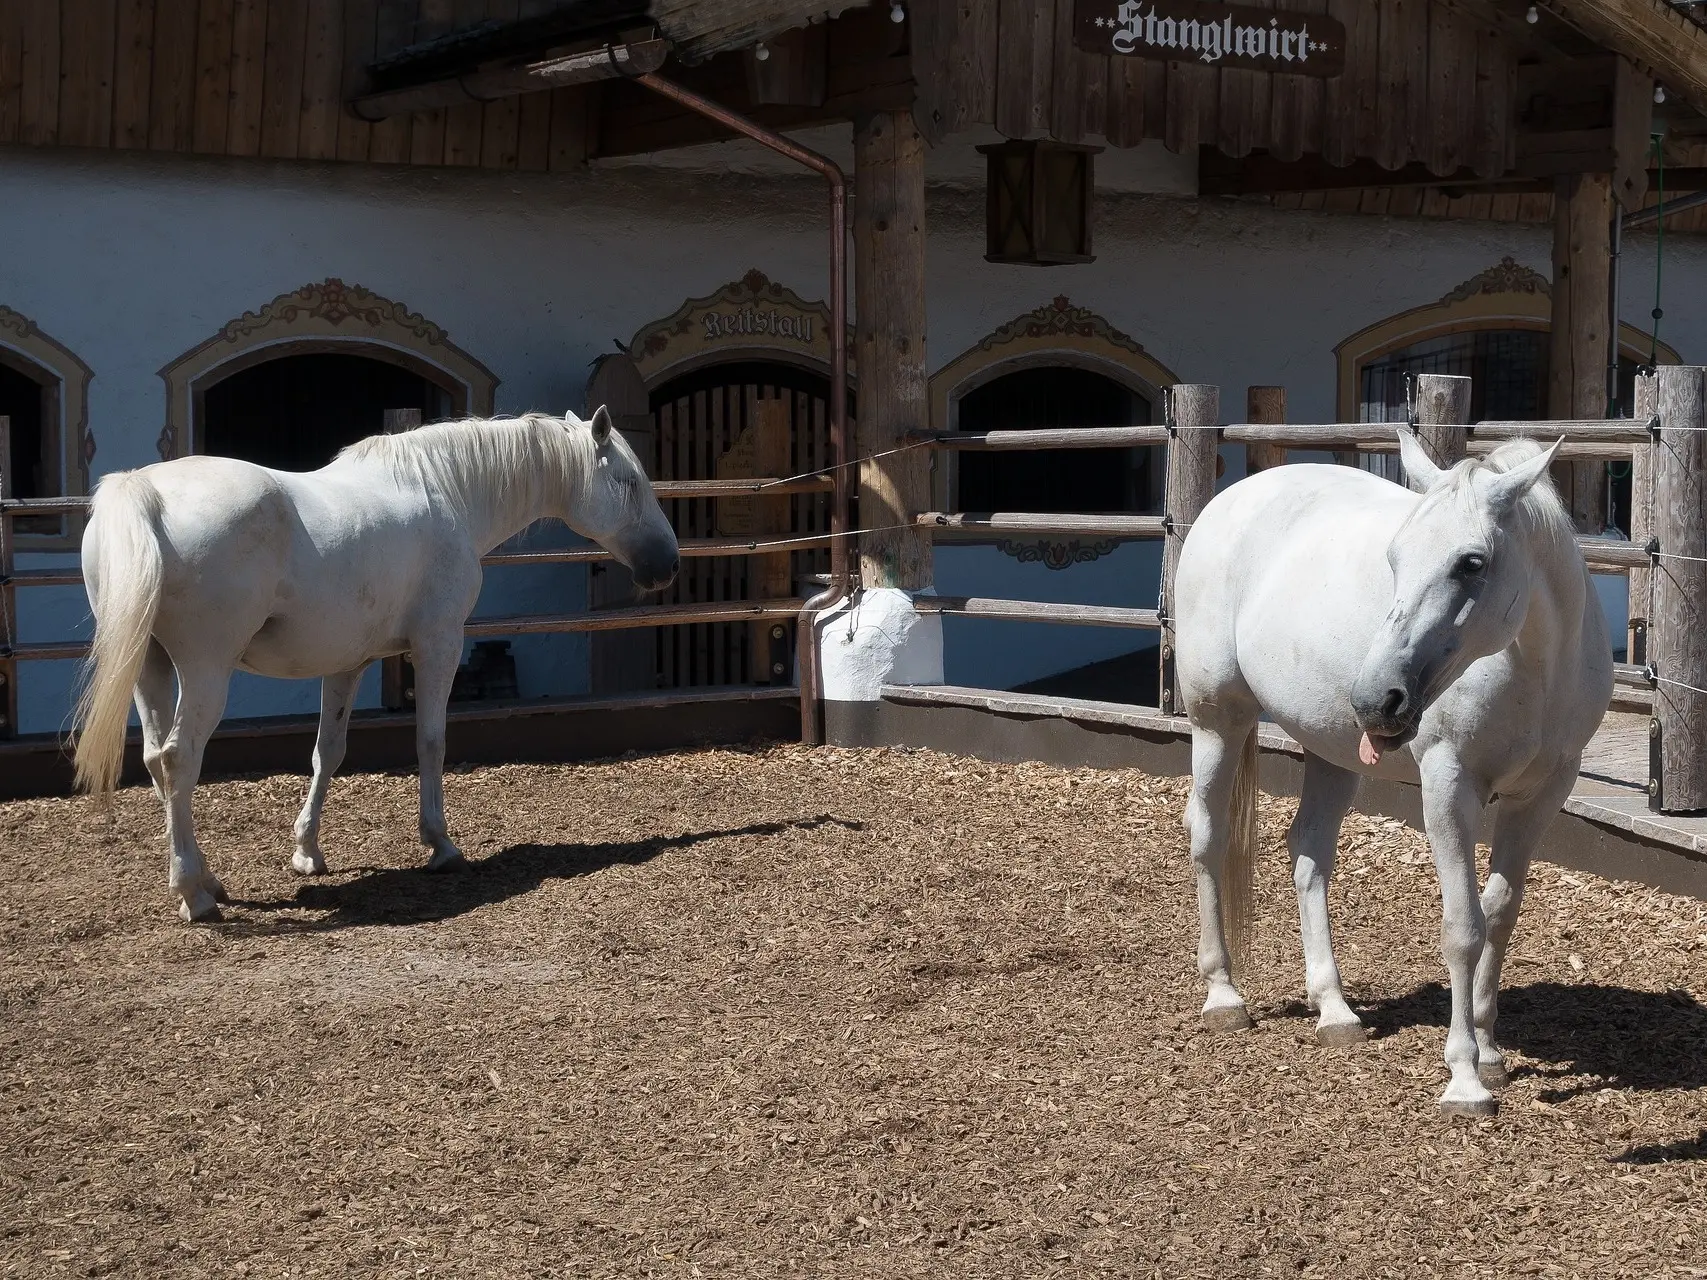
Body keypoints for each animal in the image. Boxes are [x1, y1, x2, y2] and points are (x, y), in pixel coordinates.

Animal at [73, 411, 675, 921]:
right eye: (628, 482)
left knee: (156, 760)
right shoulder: (438, 643)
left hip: (149, 668)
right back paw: (194, 895)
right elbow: (431, 741)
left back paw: (207, 880)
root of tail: (148, 493)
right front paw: (440, 844)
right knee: (179, 760)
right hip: (205, 671)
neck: (445, 490)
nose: (667, 564)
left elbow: (327, 753)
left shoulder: (347, 664)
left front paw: (307, 852)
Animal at [1174, 436, 1611, 1119]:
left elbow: (1501, 913)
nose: (1377, 699)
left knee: (1308, 853)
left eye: (1471, 563)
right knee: (1209, 836)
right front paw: (1464, 1078)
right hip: (1218, 719)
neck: (1536, 666)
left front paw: (1490, 1049)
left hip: (1330, 750)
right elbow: (1463, 926)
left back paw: (1335, 1011)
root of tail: (1233, 498)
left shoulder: (1544, 794)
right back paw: (1224, 997)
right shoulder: (1449, 786)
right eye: (1395, 556)